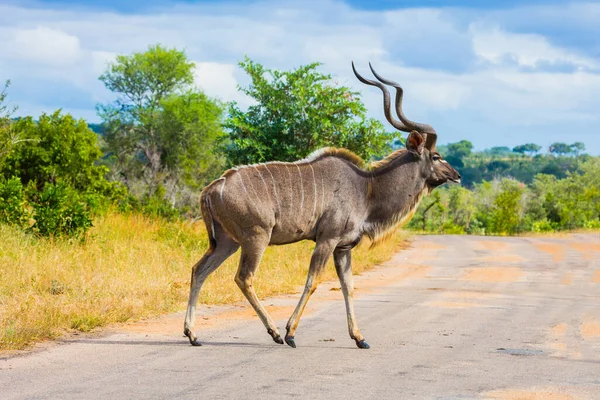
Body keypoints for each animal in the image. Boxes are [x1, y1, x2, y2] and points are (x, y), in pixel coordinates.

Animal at [185, 61, 462, 348]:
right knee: (244, 277)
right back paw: (274, 332)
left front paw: (360, 338)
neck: (367, 189)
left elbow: (348, 286)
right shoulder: (327, 240)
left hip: (228, 242)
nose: (457, 175)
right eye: (436, 156)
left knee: (199, 270)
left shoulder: (343, 248)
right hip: (256, 238)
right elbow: (313, 280)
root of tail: (212, 189)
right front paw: (291, 333)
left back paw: (193, 334)